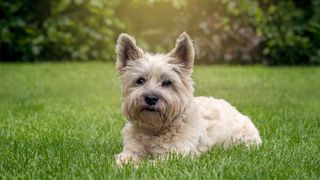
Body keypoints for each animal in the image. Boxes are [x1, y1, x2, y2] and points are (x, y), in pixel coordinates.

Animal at [114, 32, 262, 166]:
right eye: (140, 80)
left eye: (167, 82)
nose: (151, 98)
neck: (155, 128)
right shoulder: (132, 148)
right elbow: (126, 157)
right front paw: (125, 165)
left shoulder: (176, 154)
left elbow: (153, 164)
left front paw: (140, 166)